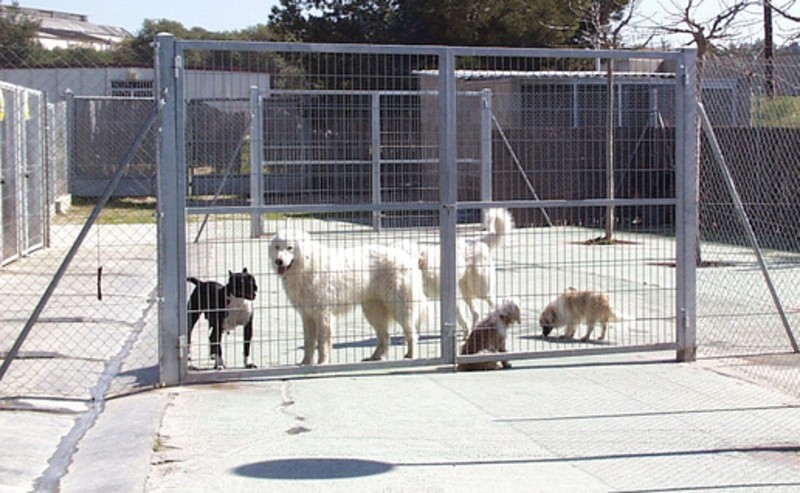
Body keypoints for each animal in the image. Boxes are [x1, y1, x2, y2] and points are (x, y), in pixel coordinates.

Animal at [268, 229, 428, 364]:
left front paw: (322, 363)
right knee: (385, 336)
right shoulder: (307, 315)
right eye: (277, 247)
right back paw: (375, 357)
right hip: (372, 309)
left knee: (411, 333)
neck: (306, 266)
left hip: (399, 305)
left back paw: (410, 355)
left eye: (290, 247)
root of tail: (405, 255)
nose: (278, 261)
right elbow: (309, 342)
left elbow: (322, 342)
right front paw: (305, 363)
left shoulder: (322, 313)